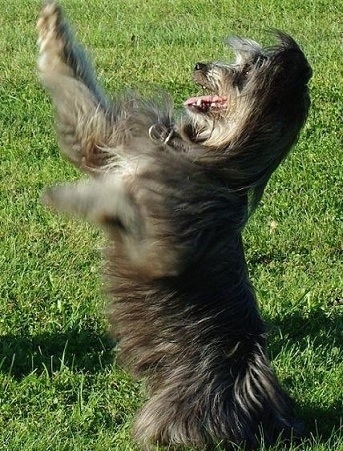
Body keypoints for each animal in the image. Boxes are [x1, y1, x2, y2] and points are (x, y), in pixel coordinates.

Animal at [36, 1, 314, 450]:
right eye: (237, 61)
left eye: (243, 72)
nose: (201, 66)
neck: (213, 152)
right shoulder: (102, 144)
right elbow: (75, 89)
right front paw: (50, 25)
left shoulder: (163, 245)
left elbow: (122, 203)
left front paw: (70, 197)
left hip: (181, 407)